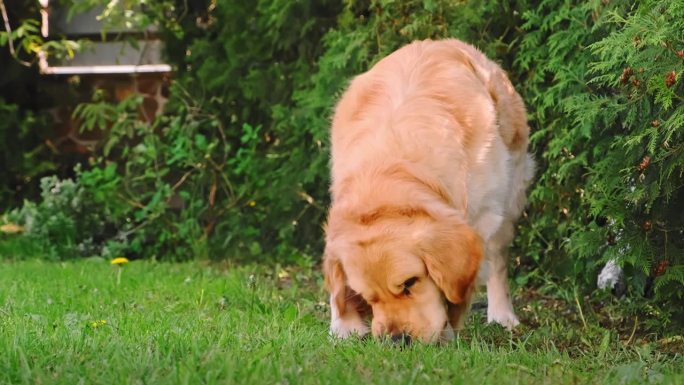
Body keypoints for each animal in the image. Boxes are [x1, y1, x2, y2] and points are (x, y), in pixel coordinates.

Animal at [322, 39, 536, 344]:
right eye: (368, 297)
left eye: (410, 283)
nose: (396, 339)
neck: (389, 175)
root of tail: (442, 42)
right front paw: (343, 325)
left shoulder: (482, 216)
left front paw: (448, 331)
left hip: (510, 193)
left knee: (497, 259)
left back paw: (502, 315)